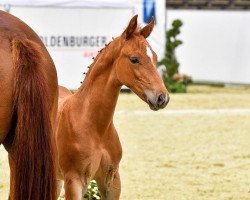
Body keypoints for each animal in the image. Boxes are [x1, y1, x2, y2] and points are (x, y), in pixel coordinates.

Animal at [56, 14, 170, 199]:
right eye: (134, 59)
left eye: (154, 57)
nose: (162, 98)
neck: (93, 125)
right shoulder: (74, 181)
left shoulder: (112, 180)